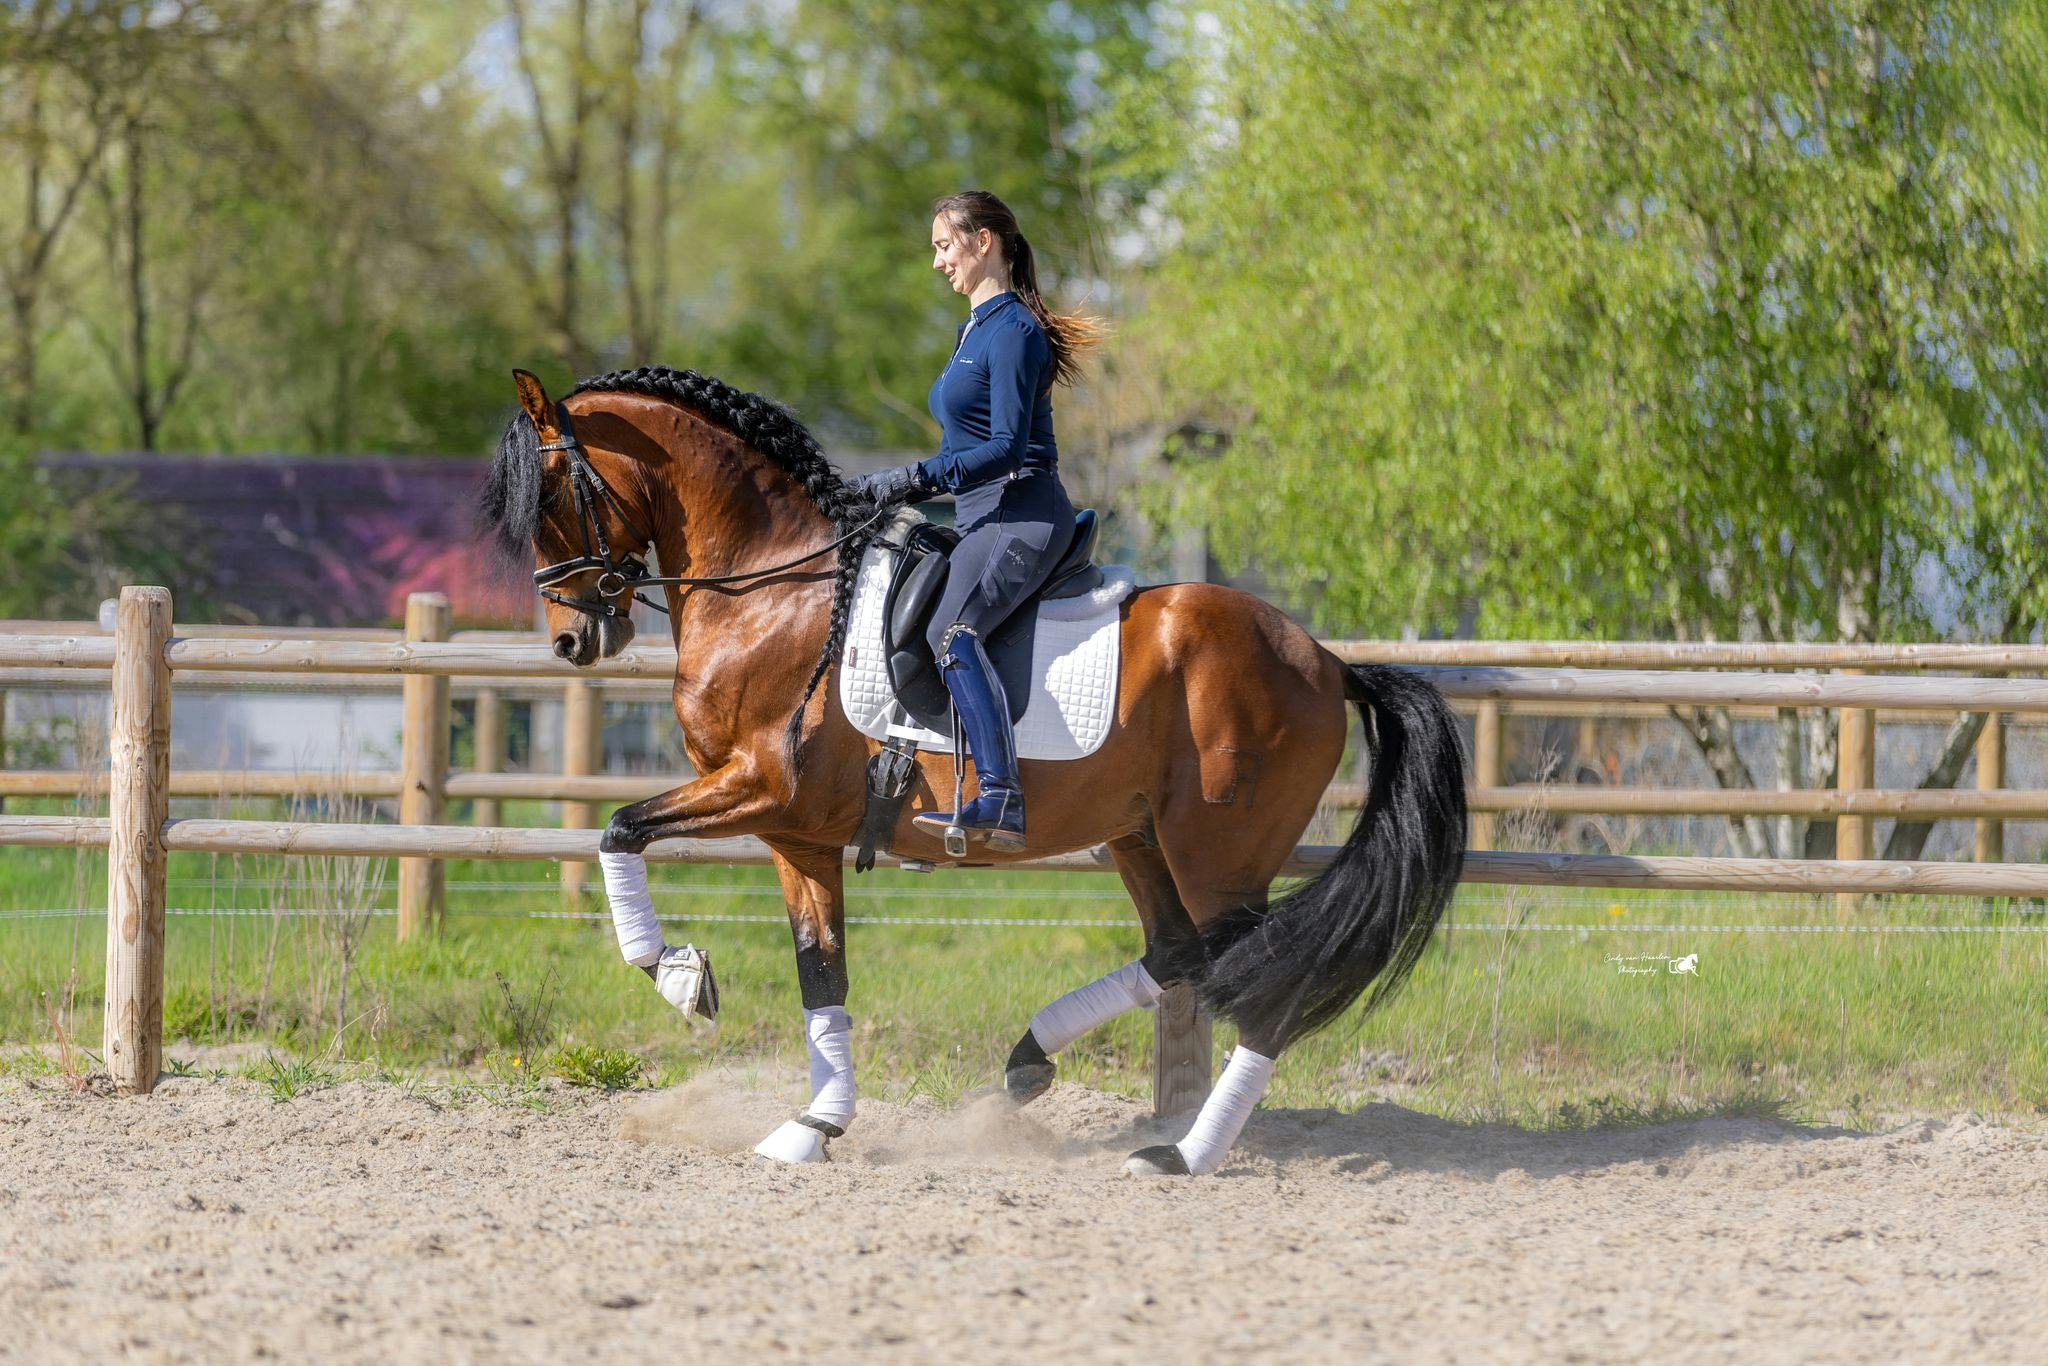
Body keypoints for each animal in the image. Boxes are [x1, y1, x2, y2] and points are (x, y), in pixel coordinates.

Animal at [479, 364, 1468, 1175]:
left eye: (552, 494)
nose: (571, 641)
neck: (773, 588)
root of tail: (1328, 662)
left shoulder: (759, 787)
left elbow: (619, 830)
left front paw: (681, 977)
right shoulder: (796, 835)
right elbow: (821, 973)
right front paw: (814, 1125)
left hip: (1218, 854)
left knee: (1262, 983)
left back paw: (1184, 1154)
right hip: (1141, 836)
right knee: (1178, 954)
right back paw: (1031, 1060)